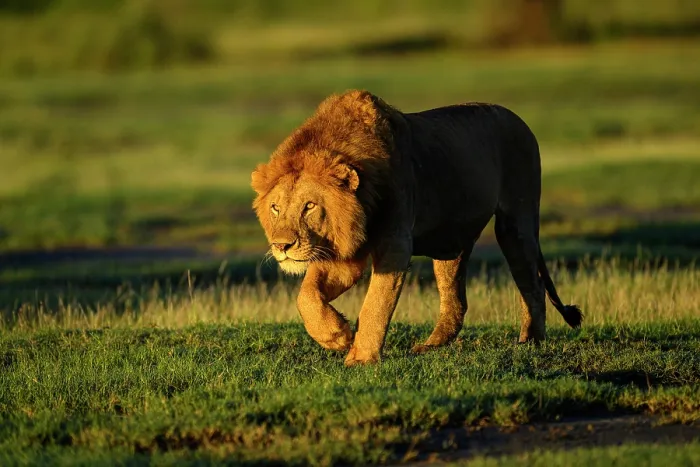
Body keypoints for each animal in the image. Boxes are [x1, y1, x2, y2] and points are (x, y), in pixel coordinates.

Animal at [250, 90, 582, 366]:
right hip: (450, 244)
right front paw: (337, 336)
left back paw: (531, 341)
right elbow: (306, 296)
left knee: (532, 283)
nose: (281, 246)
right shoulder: (343, 253)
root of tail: (519, 120)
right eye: (275, 208)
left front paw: (360, 358)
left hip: (516, 221)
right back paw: (430, 346)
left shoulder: (395, 244)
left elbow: (376, 303)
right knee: (456, 301)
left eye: (309, 206)